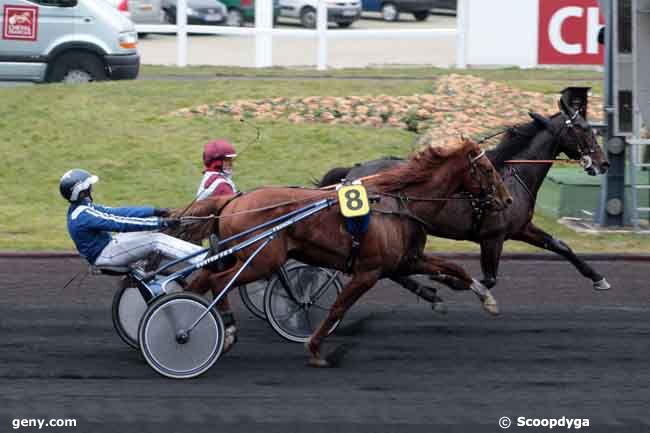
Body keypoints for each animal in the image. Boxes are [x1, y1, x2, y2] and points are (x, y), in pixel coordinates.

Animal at [181, 137, 512, 366]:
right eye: (486, 169)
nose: (507, 200)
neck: (399, 204)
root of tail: (232, 201)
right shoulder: (369, 272)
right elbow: (339, 307)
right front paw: (315, 348)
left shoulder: (408, 260)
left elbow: (455, 268)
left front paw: (487, 298)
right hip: (262, 260)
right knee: (219, 282)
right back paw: (221, 330)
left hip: (240, 255)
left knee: (202, 279)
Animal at [316, 100, 612, 308]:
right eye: (585, 129)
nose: (604, 163)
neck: (512, 174)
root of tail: (352, 173)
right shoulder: (493, 237)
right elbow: (489, 279)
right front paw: (447, 279)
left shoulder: (520, 229)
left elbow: (560, 245)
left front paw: (599, 278)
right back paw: (427, 291)